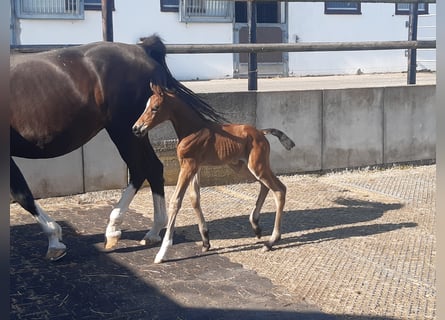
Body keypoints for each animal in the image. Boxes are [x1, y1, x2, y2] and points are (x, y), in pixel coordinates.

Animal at [133, 84, 294, 264]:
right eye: (146, 106)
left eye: (155, 108)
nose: (136, 129)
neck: (193, 129)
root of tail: (260, 132)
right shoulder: (195, 166)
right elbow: (195, 199)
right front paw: (205, 240)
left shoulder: (188, 166)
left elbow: (176, 201)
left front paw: (162, 252)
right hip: (242, 166)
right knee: (265, 186)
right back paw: (256, 225)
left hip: (257, 166)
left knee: (279, 189)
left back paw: (271, 241)